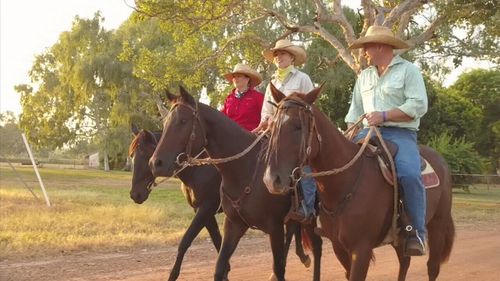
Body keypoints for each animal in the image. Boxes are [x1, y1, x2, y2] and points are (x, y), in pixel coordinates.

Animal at [146, 86, 322, 280]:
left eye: (183, 121)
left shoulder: (274, 227)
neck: (245, 169)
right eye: (165, 123)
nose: (155, 163)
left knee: (316, 245)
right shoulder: (233, 224)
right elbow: (219, 266)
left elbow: (279, 268)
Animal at [264, 86, 456, 280]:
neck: (346, 182)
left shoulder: (361, 249)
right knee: (404, 261)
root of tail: (441, 161)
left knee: (432, 267)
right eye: (272, 127)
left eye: (298, 127)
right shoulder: (339, 247)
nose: (272, 180)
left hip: (437, 226)